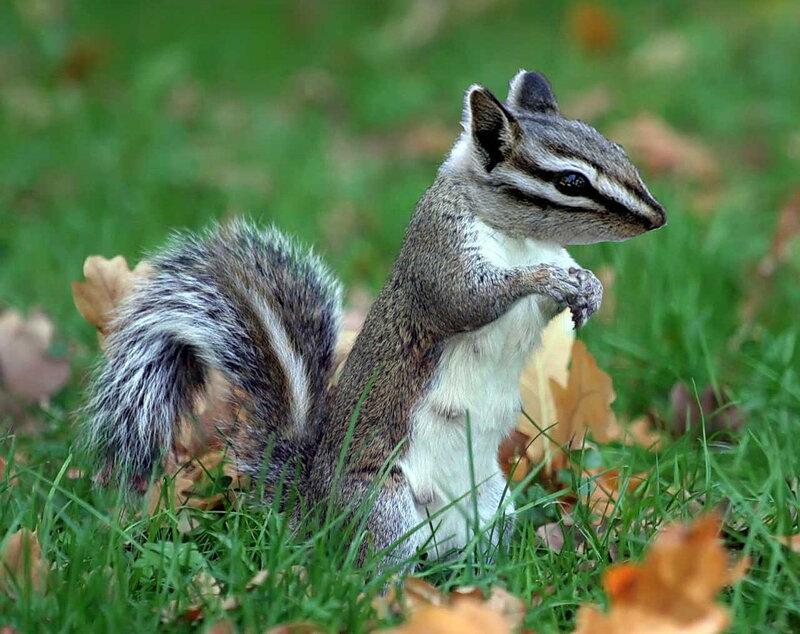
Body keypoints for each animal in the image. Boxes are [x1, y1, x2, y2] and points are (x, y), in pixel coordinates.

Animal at [84, 70, 666, 569]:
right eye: (570, 181)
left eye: (614, 147)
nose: (657, 218)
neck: (522, 237)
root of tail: (314, 514)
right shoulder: (439, 254)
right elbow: (467, 299)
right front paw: (550, 280)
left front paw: (588, 289)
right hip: (382, 508)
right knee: (377, 570)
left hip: (493, 507)